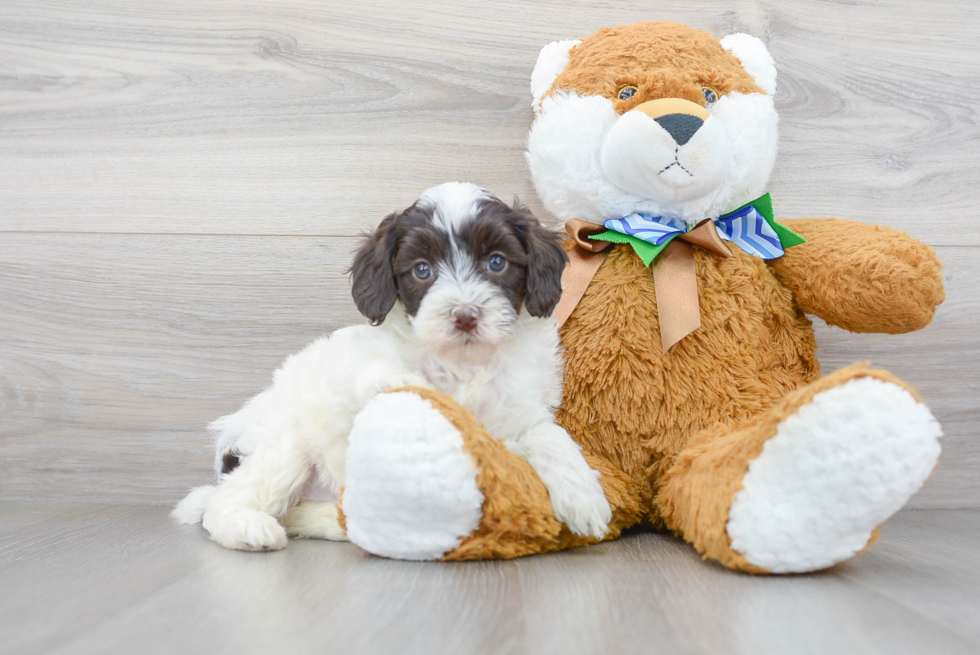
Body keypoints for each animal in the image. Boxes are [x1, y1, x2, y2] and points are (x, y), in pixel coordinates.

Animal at [172, 182, 608, 552]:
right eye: (422, 270)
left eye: (497, 262)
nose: (465, 316)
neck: (463, 363)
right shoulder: (354, 370)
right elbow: (383, 378)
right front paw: (415, 388)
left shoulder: (519, 413)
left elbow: (550, 436)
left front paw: (584, 496)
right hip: (281, 449)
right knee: (226, 502)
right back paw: (250, 528)